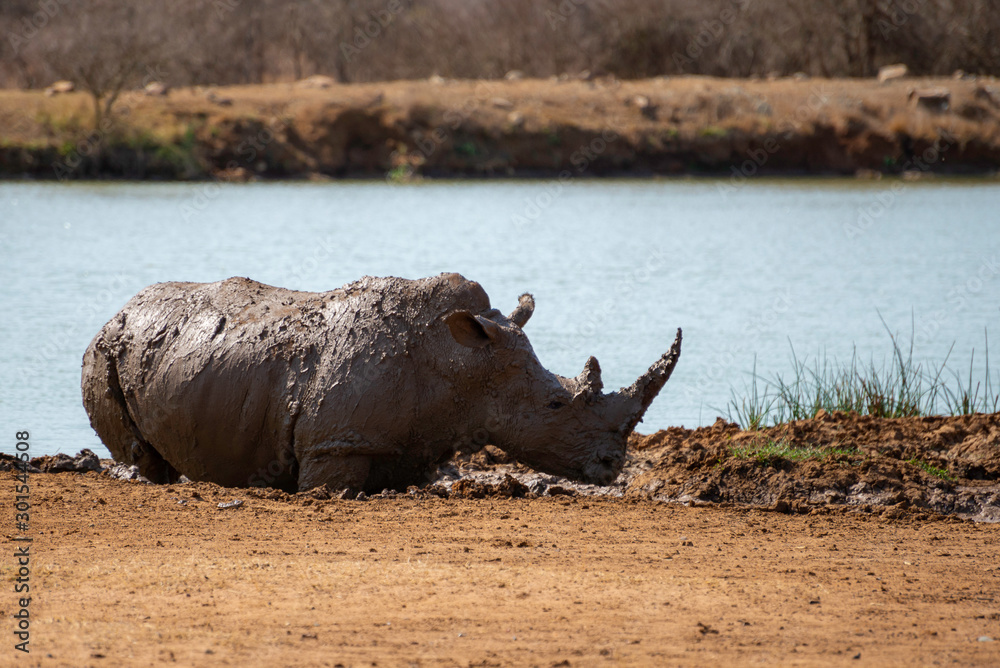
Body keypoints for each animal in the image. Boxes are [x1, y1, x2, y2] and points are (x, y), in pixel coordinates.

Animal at [81, 273, 681, 494]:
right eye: (557, 403)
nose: (613, 465)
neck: (461, 363)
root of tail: (116, 313)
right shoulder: (337, 442)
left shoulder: (402, 439)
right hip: (102, 353)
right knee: (141, 452)